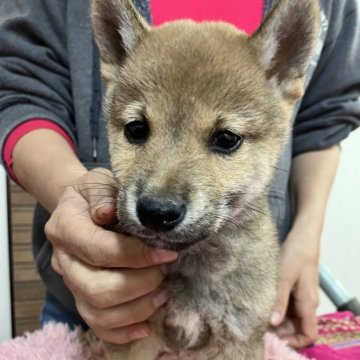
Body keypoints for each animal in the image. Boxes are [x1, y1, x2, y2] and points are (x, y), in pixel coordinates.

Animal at [91, 1, 320, 358]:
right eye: (136, 129)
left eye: (226, 139)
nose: (157, 212)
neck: (194, 264)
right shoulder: (132, 336)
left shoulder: (240, 338)